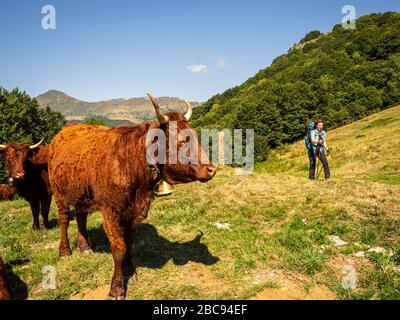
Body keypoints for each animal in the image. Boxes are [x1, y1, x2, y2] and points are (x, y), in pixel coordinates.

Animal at [49, 93, 219, 300]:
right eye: (181, 141)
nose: (211, 169)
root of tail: (62, 134)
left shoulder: (135, 211)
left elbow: (129, 244)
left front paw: (130, 272)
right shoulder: (110, 211)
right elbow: (119, 248)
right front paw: (117, 287)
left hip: (82, 195)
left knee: (81, 218)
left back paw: (85, 247)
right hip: (58, 192)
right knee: (64, 220)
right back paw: (65, 251)